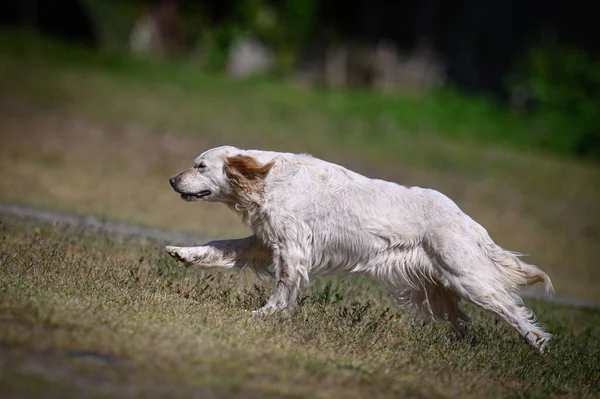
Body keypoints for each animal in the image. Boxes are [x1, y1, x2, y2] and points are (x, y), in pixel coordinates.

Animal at [164, 145, 552, 352]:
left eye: (201, 166)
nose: (171, 179)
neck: (267, 178)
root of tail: (467, 220)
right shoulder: (264, 242)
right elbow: (219, 246)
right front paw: (183, 253)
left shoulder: (292, 250)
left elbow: (282, 288)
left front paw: (265, 315)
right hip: (436, 289)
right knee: (463, 323)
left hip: (467, 279)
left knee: (513, 311)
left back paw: (540, 345)